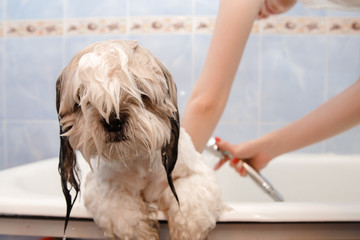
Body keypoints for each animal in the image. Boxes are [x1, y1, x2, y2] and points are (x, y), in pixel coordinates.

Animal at [56, 40, 222, 239]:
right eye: (82, 100)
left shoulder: (196, 175)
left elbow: (189, 212)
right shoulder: (101, 186)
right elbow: (122, 213)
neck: (138, 161)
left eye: (140, 91)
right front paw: (142, 231)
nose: (113, 120)